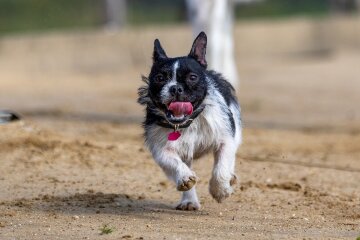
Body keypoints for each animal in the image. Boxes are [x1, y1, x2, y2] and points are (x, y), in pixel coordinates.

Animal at [138, 31, 242, 210]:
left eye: (192, 77)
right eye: (159, 78)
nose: (175, 88)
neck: (188, 122)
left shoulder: (225, 139)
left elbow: (221, 166)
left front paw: (220, 190)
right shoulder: (160, 148)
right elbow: (172, 161)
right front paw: (185, 177)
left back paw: (230, 178)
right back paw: (189, 200)